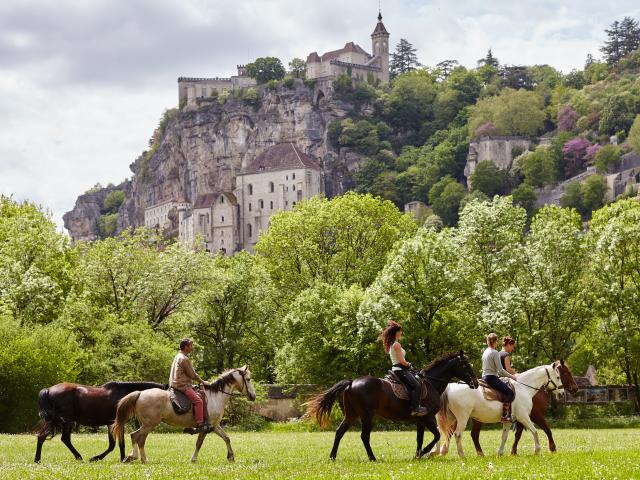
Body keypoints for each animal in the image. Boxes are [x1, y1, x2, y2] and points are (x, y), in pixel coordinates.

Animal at [35, 380, 166, 464]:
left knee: (53, 438)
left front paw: (121, 459)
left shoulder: (114, 424)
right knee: (54, 438)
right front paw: (99, 458)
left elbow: (117, 444)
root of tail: (48, 390)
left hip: (59, 421)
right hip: (64, 421)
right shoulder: (115, 423)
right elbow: (115, 444)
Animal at [112, 366, 255, 464]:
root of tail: (140, 393)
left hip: (146, 424)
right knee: (137, 437)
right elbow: (199, 444)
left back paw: (137, 457)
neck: (215, 396)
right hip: (149, 424)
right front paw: (193, 459)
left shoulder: (214, 426)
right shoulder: (205, 428)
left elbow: (227, 438)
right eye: (248, 379)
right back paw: (140, 458)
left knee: (137, 438)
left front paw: (230, 456)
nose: (253, 396)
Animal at [308, 352, 478, 462]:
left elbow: (419, 438)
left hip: (351, 415)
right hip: (367, 415)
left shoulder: (420, 420)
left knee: (339, 432)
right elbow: (436, 435)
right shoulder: (428, 417)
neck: (431, 383)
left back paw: (332, 457)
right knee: (364, 436)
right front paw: (424, 453)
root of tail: (351, 382)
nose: (476, 383)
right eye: (466, 365)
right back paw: (372, 458)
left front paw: (417, 455)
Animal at [436, 360, 564, 458]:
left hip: (450, 417)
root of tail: (450, 387)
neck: (523, 387)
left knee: (441, 431)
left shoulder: (508, 421)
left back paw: (435, 452)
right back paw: (462, 455)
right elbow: (535, 431)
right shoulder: (524, 417)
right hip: (462, 418)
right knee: (457, 434)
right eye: (558, 377)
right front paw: (537, 450)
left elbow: (504, 437)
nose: (562, 393)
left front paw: (500, 453)